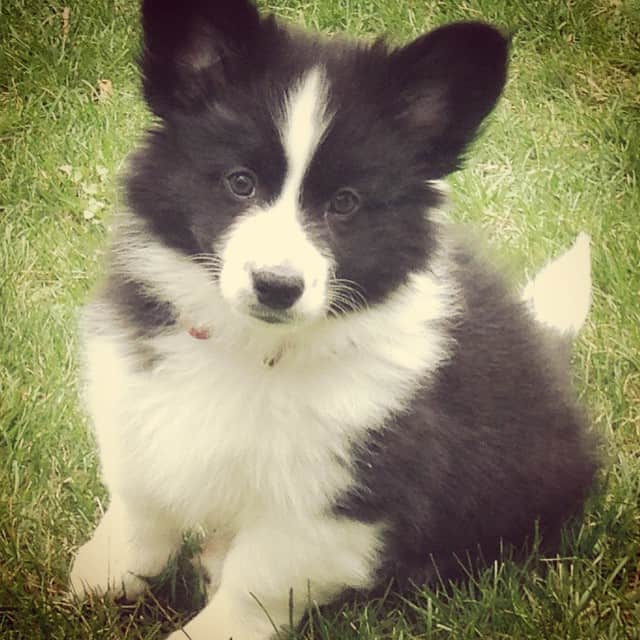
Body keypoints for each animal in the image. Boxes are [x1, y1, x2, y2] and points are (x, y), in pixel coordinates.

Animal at [71, 2, 600, 636]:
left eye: (345, 203)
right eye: (240, 182)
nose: (277, 286)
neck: (254, 349)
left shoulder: (338, 501)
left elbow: (258, 580)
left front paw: (207, 624)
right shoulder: (138, 394)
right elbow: (141, 500)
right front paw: (104, 574)